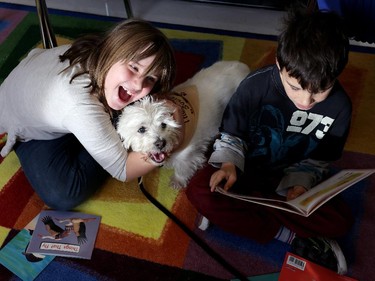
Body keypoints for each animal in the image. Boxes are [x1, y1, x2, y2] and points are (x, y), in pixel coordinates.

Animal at [116, 61, 248, 188]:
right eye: (141, 129)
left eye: (164, 124)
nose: (161, 143)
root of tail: (244, 68)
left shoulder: (188, 155)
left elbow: (183, 169)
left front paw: (177, 181)